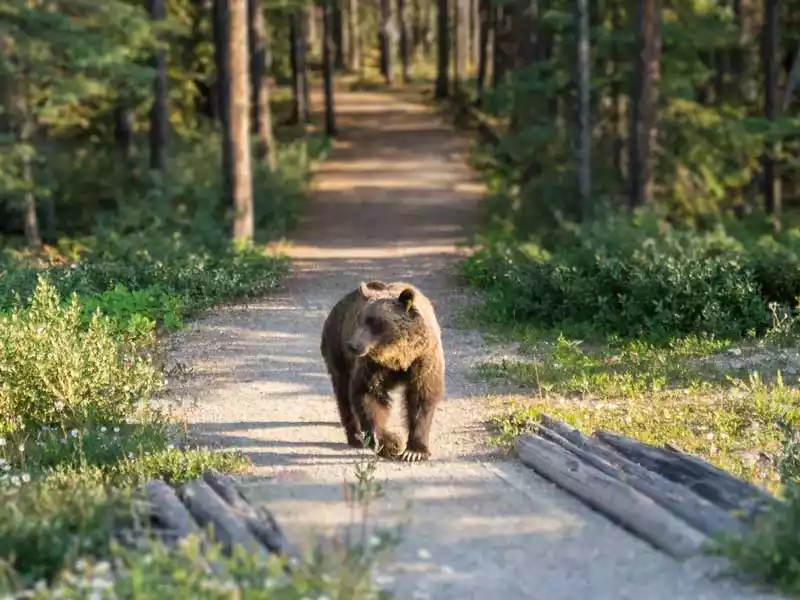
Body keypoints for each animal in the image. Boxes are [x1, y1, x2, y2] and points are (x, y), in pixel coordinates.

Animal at [319, 280, 445, 462]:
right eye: (359, 319)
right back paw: (355, 437)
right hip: (337, 349)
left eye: (375, 322)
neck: (398, 357)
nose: (353, 345)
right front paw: (390, 444)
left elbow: (422, 398)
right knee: (343, 392)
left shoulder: (423, 359)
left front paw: (415, 451)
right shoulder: (372, 365)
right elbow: (368, 394)